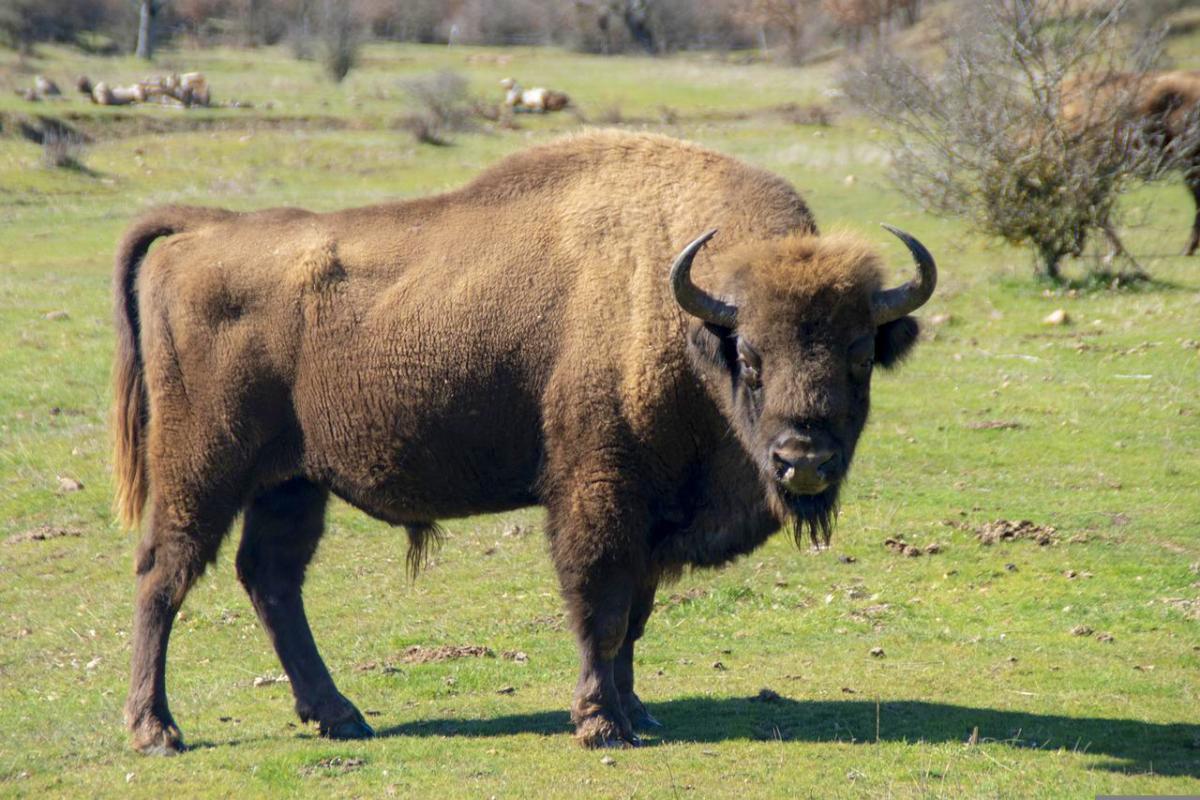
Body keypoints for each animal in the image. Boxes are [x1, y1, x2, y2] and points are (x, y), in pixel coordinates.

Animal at [112, 128, 936, 753]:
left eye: (860, 355)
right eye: (754, 358)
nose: (804, 460)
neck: (686, 318)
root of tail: (201, 232)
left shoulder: (651, 517)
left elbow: (634, 616)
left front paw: (638, 713)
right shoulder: (599, 493)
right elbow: (601, 607)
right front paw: (601, 725)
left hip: (291, 482)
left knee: (272, 580)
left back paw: (341, 717)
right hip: (203, 466)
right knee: (164, 574)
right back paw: (157, 731)